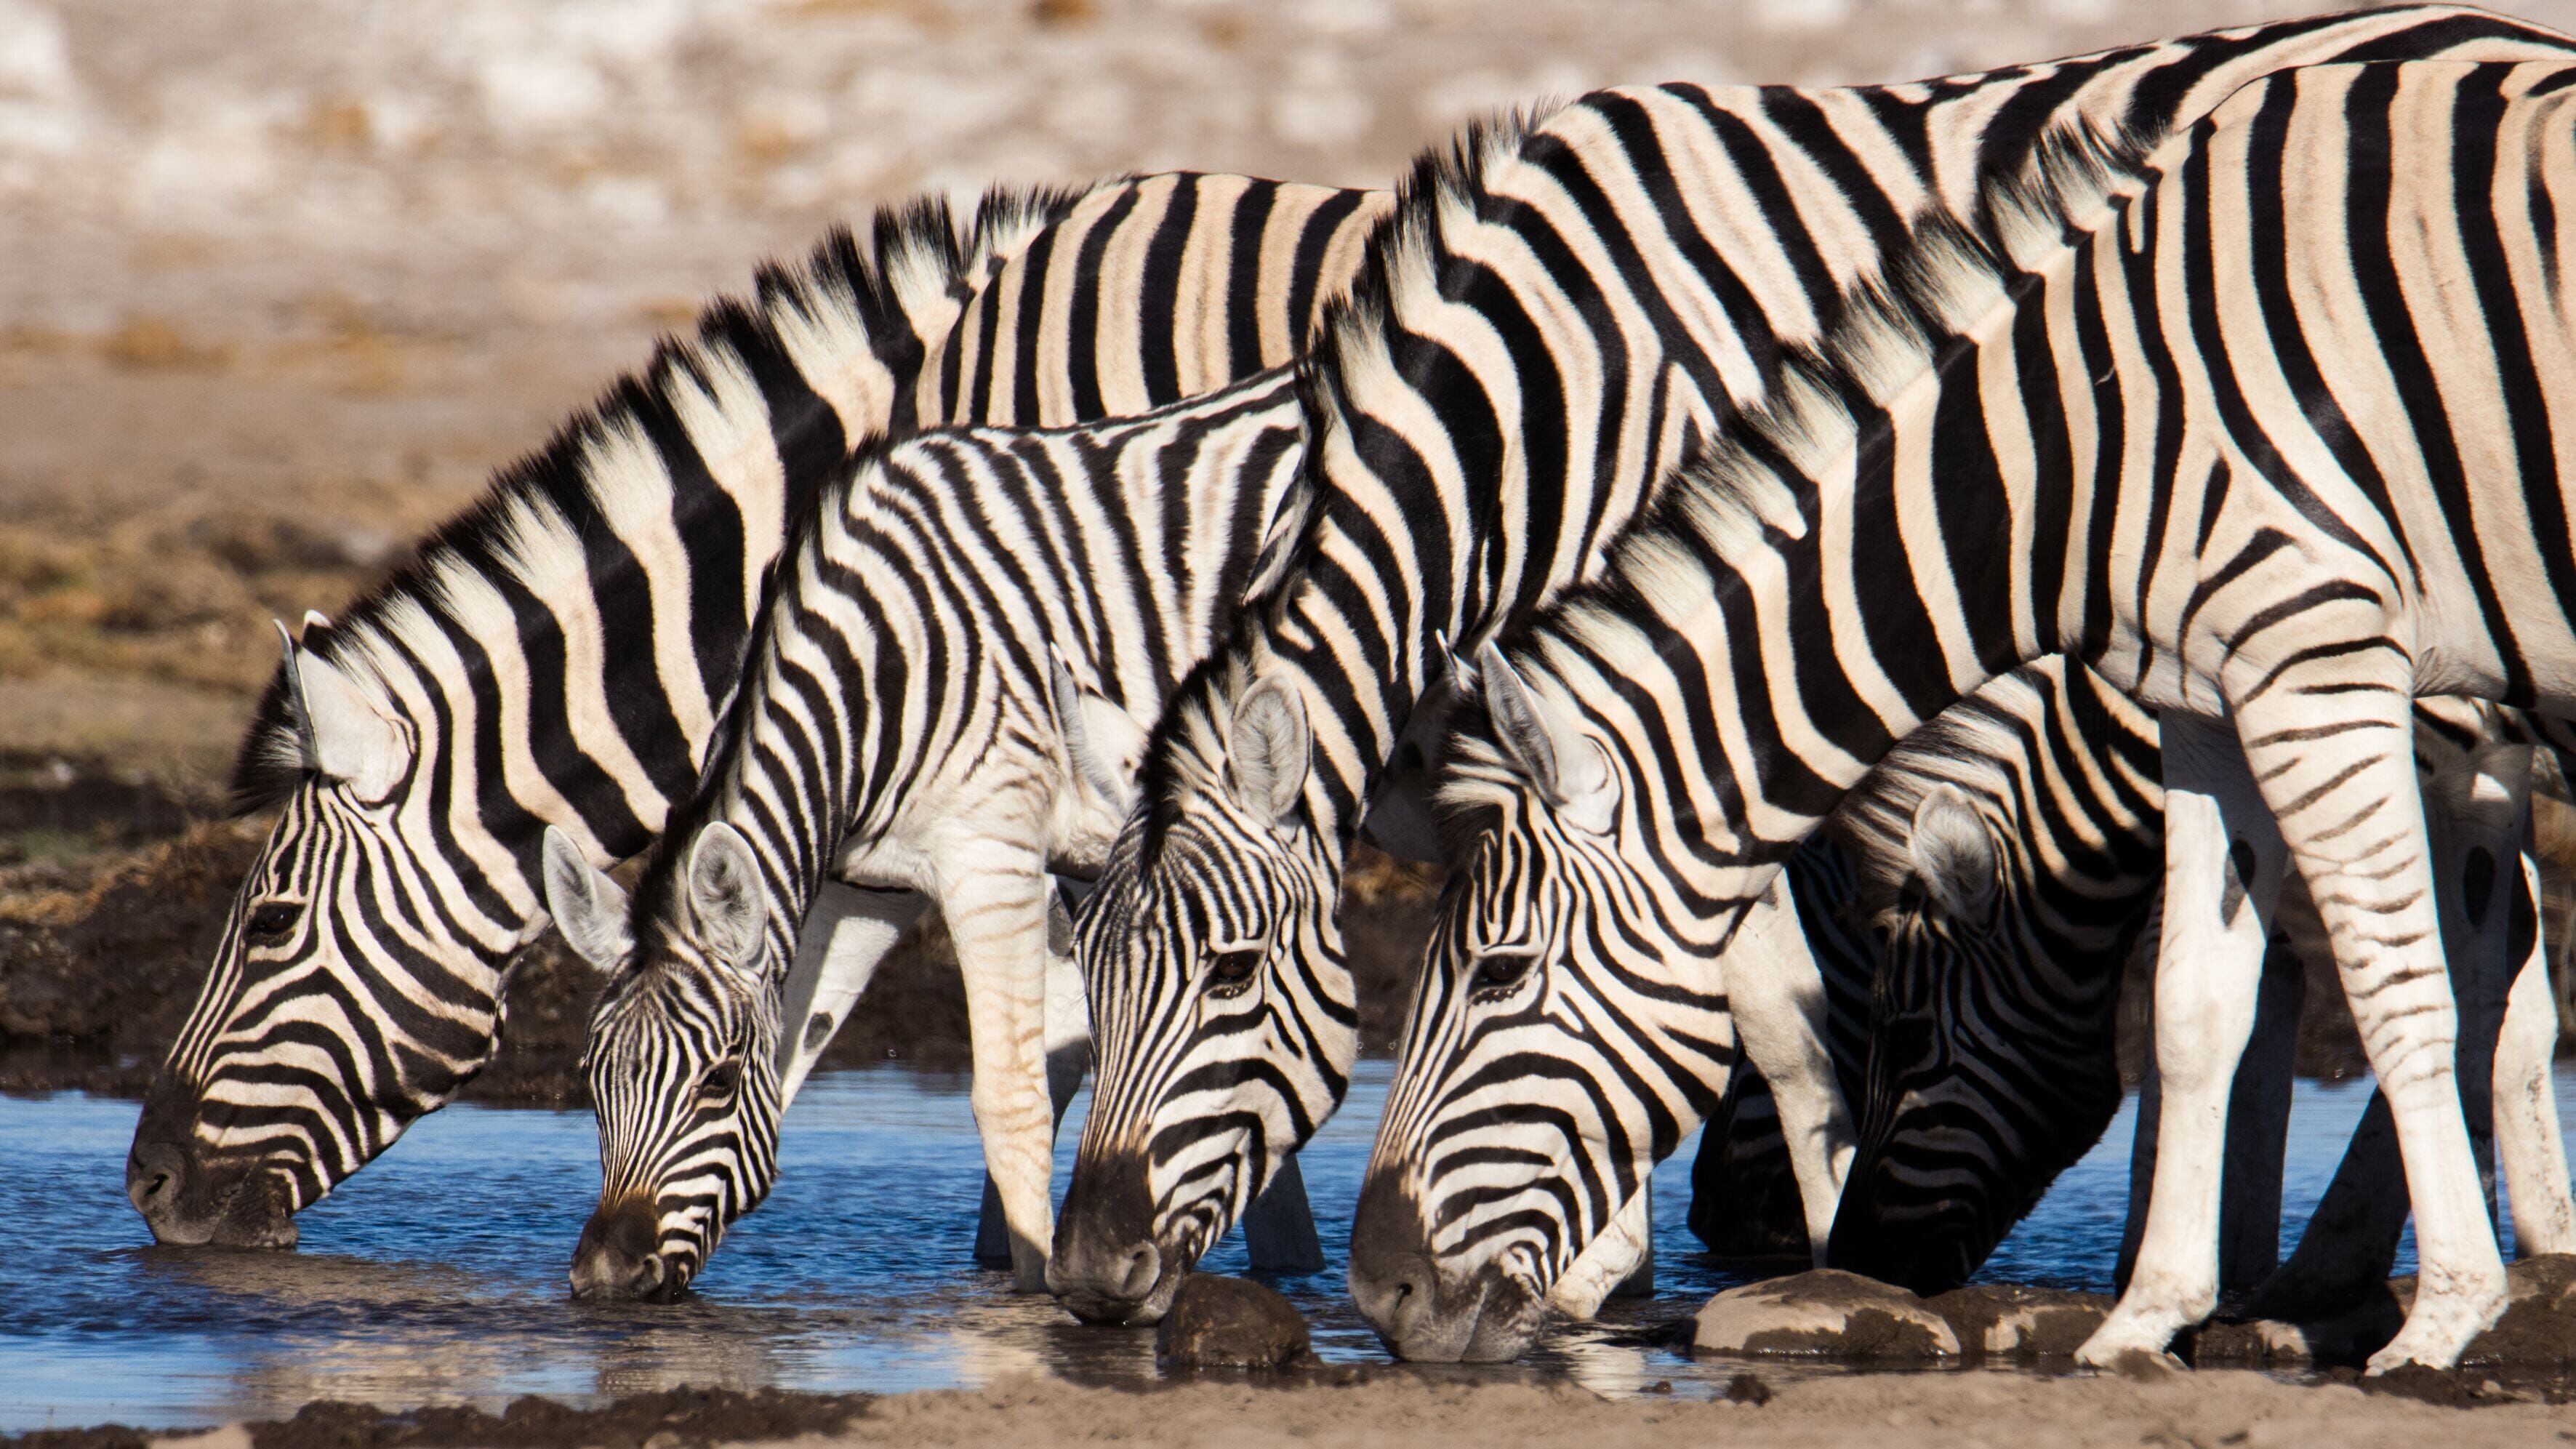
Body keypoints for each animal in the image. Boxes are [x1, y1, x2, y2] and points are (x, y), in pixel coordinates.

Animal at [1040, 8, 2576, 1328]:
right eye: (1094, 975)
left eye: (1230, 976)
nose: (1091, 1277)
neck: (1555, 394)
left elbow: (1761, 1003)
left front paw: (1709, 1265)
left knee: (2478, 944)